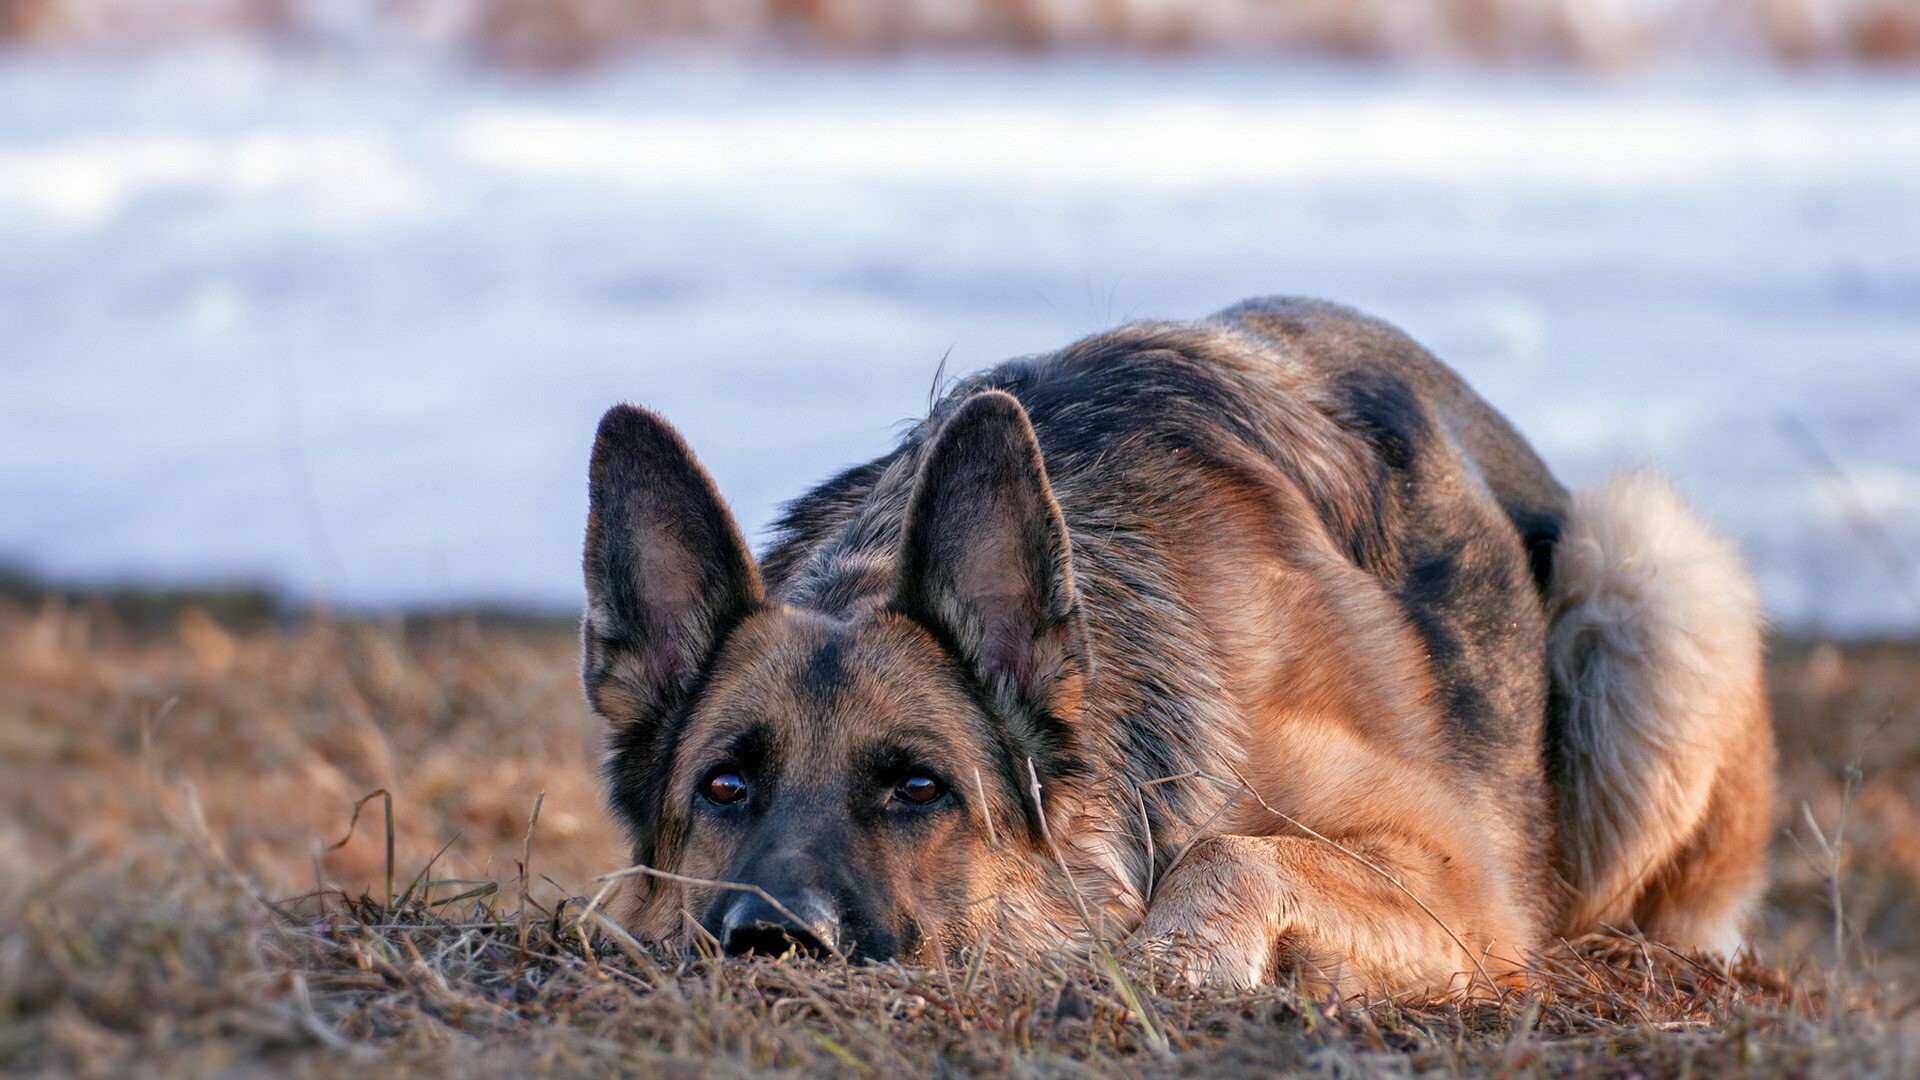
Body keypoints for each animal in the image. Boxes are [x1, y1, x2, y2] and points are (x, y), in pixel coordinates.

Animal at [576, 294, 1774, 991]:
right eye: (724, 788)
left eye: (919, 788)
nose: (774, 943)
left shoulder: (1463, 884)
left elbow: (1230, 851)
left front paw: (1171, 963)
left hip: (1646, 568)